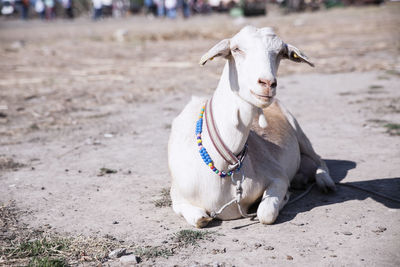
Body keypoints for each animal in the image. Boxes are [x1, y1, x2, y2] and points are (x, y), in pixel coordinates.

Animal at [167, 25, 336, 228]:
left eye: (281, 53)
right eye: (236, 49)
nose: (267, 83)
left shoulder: (278, 176)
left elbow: (265, 214)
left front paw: (285, 198)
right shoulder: (176, 196)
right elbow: (200, 219)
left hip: (298, 130)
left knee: (319, 159)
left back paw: (325, 182)